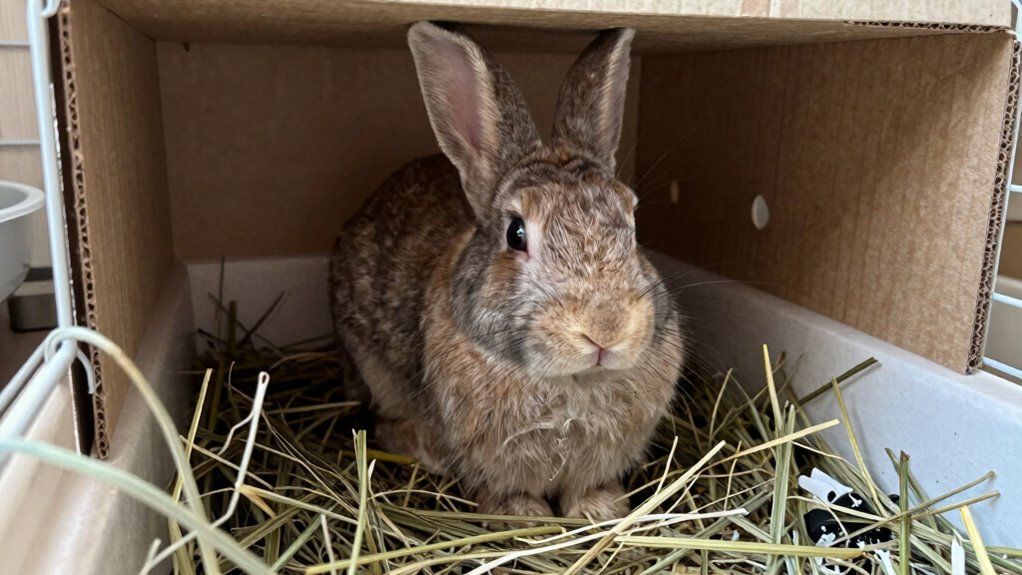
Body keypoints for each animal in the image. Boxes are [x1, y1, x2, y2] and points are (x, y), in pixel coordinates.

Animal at [329, 21, 685, 522]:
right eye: (516, 233)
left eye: (633, 223)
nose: (605, 329)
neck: (573, 382)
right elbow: (508, 494)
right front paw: (527, 519)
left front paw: (599, 509)